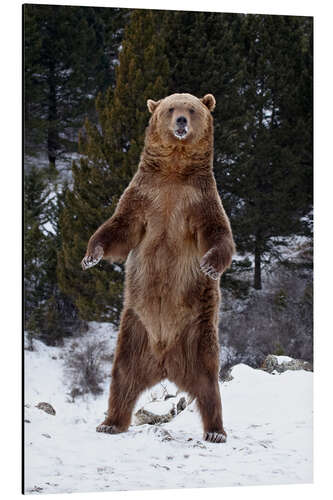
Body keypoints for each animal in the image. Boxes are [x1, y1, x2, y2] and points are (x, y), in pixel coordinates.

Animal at [81, 92, 235, 444]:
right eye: (170, 108)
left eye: (191, 108)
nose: (180, 121)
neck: (174, 173)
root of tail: (165, 362)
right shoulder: (144, 196)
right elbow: (119, 229)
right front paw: (91, 256)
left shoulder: (199, 201)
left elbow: (218, 233)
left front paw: (209, 266)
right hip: (134, 329)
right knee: (122, 377)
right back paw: (110, 422)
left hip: (198, 332)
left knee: (209, 384)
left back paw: (216, 431)